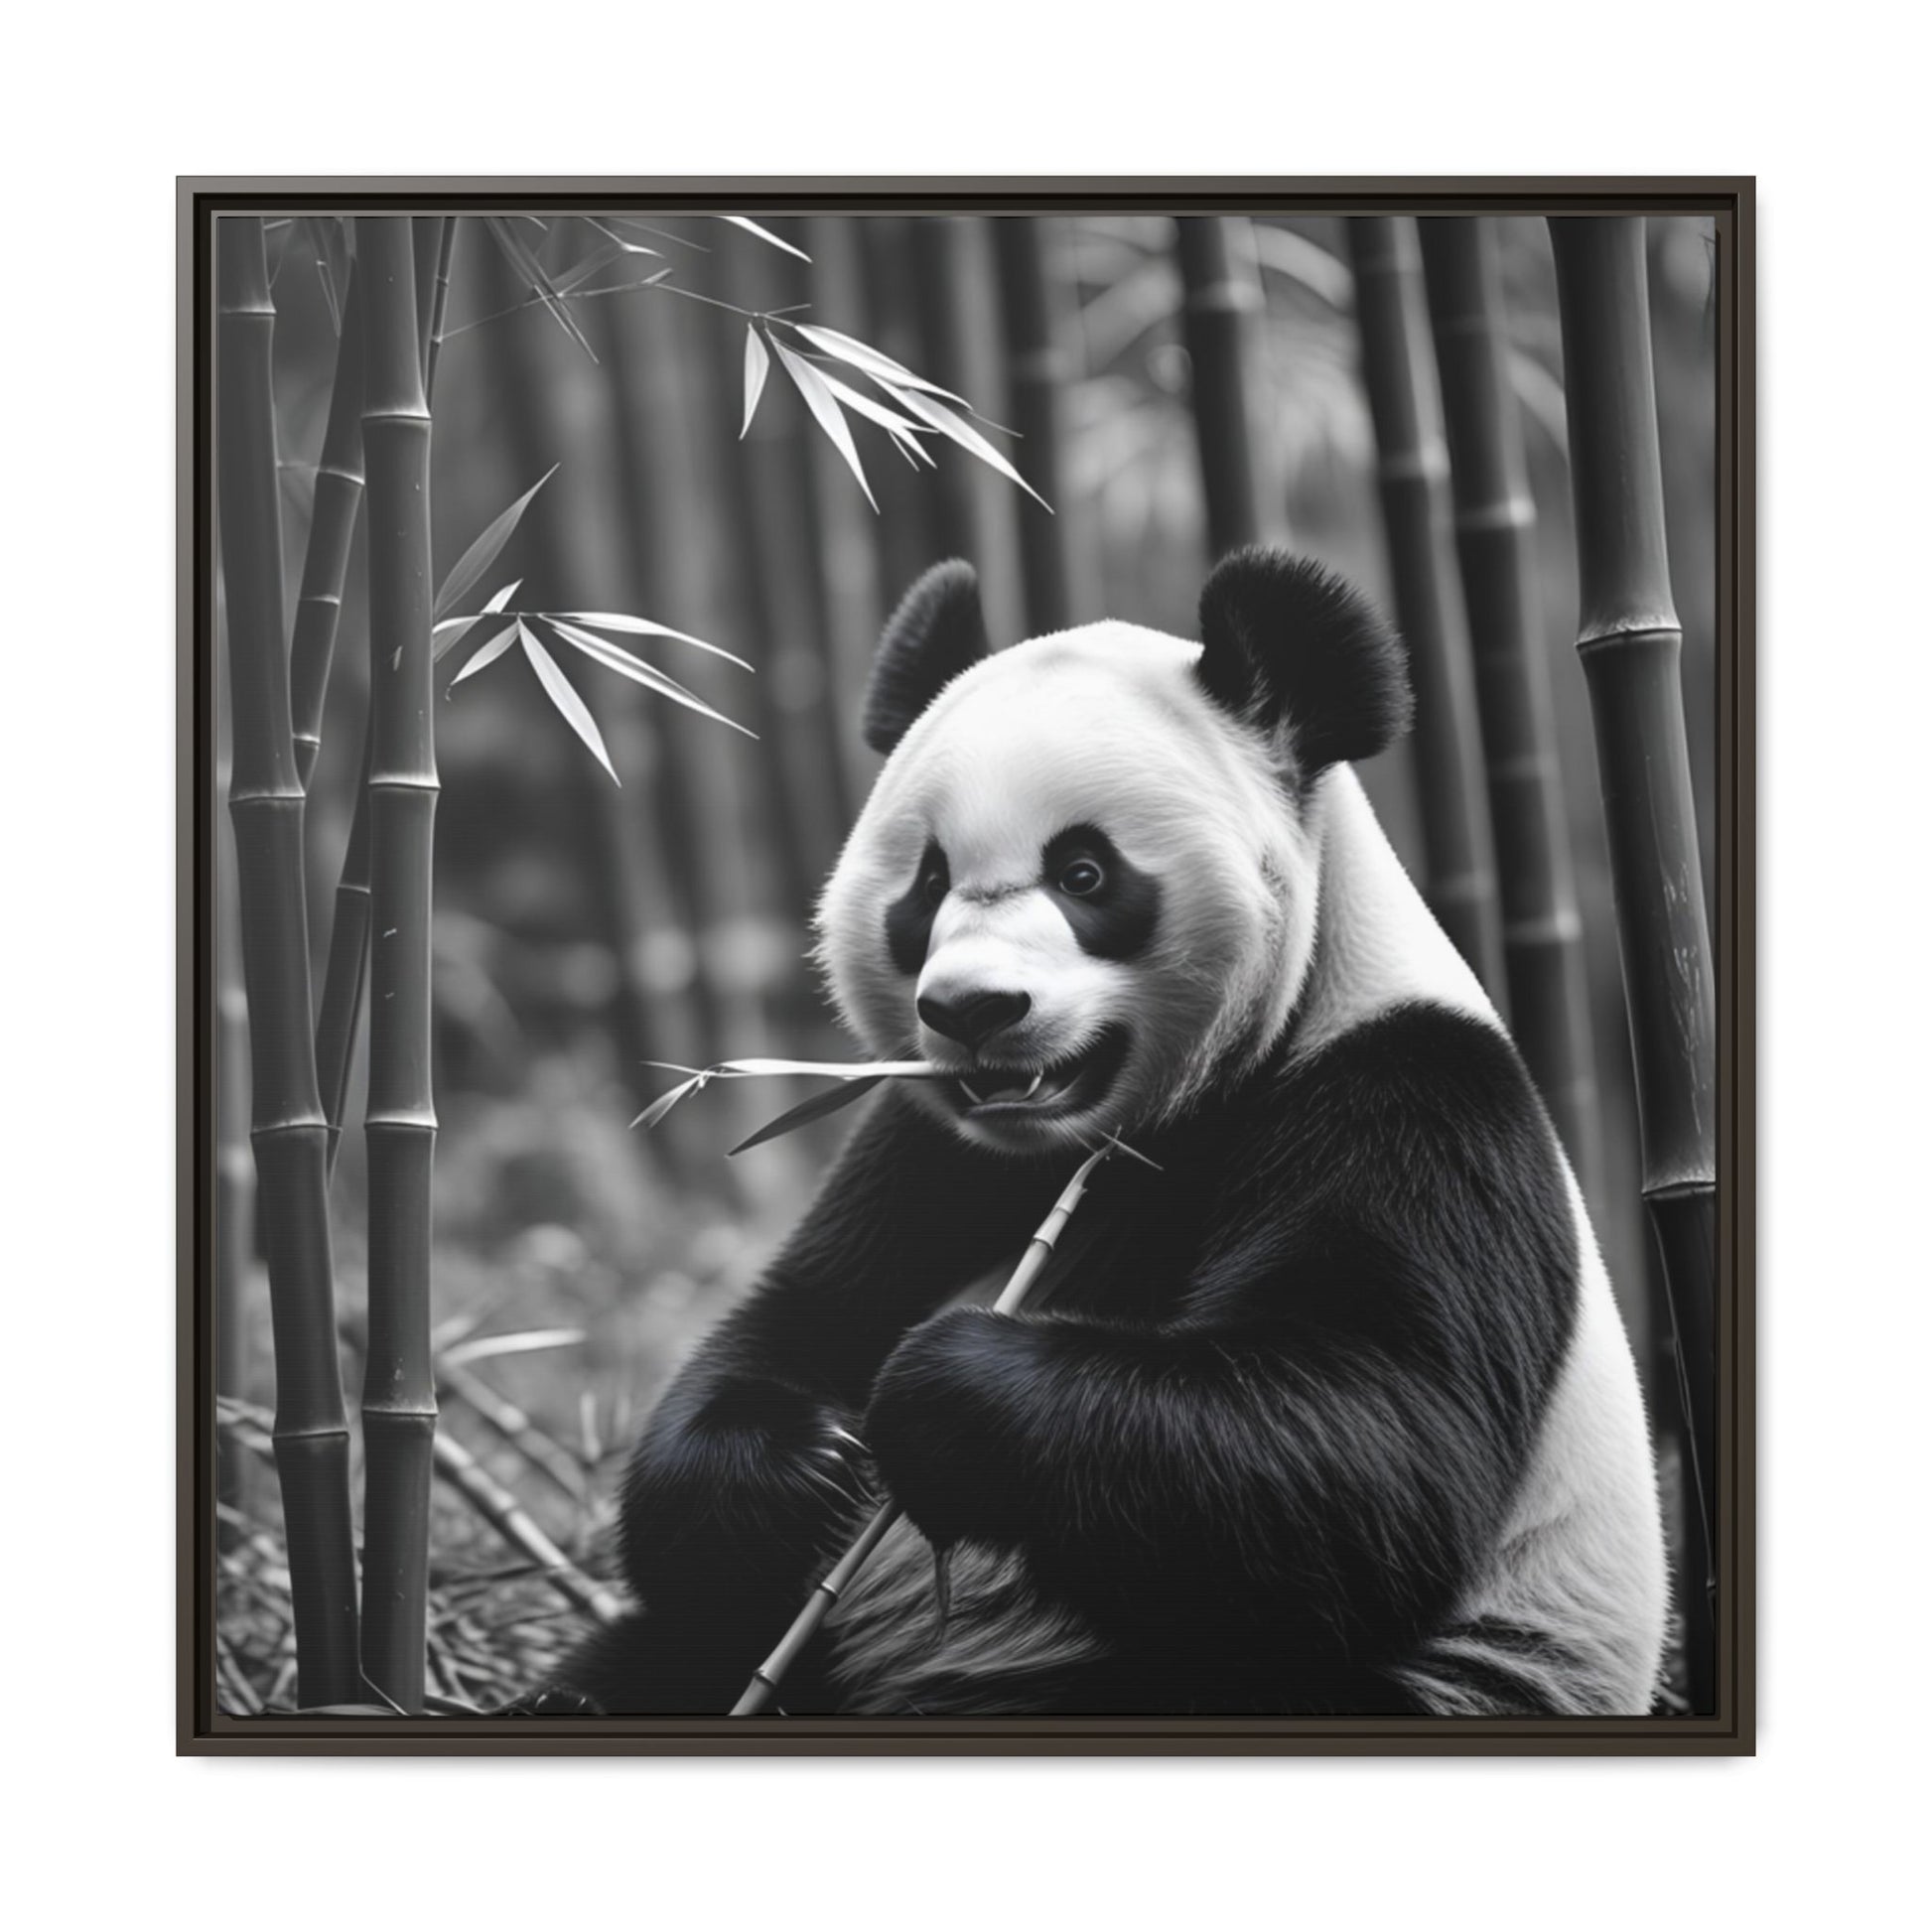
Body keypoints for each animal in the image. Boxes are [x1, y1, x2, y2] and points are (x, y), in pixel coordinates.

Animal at [534, 548, 1668, 1717]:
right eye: (928, 882)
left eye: (1083, 873)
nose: (974, 1010)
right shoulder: (929, 1146)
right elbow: (789, 1327)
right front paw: (804, 1466)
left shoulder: (1412, 1098)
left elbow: (1368, 1443)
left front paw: (941, 1390)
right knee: (668, 1649)